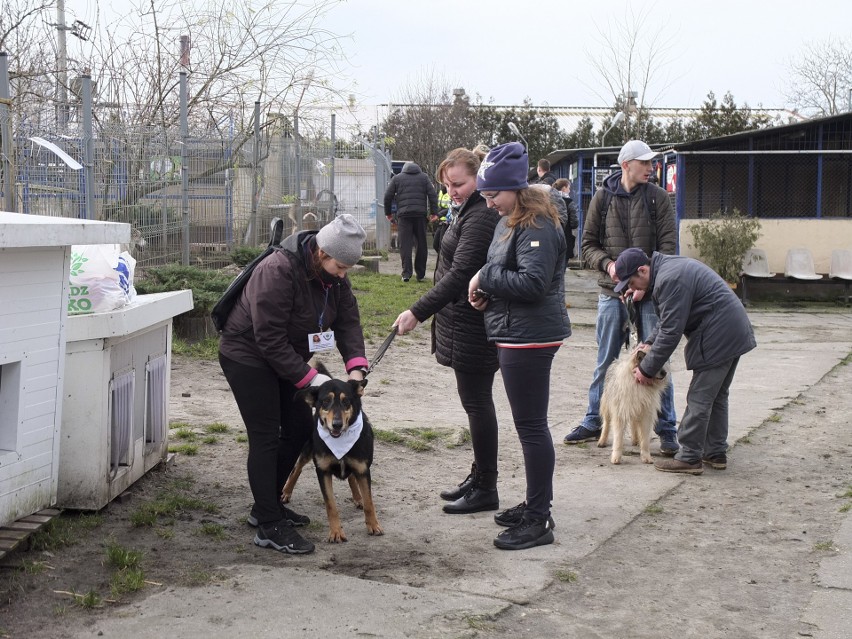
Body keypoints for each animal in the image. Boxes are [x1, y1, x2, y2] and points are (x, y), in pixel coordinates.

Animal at [282, 368, 382, 544]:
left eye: (346, 401)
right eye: (325, 401)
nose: (337, 424)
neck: (340, 442)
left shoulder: (363, 470)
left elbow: (369, 502)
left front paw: (373, 525)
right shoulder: (323, 471)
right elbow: (331, 505)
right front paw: (336, 532)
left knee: (351, 477)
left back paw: (358, 497)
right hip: (308, 448)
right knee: (297, 468)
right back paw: (287, 492)